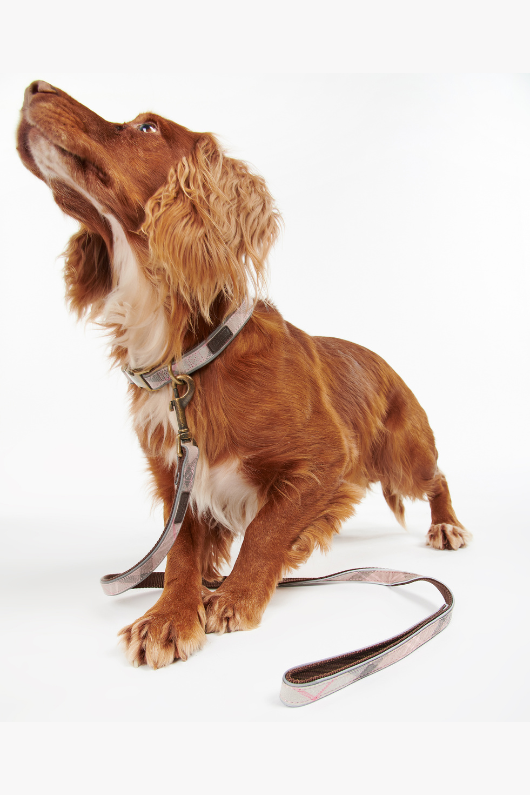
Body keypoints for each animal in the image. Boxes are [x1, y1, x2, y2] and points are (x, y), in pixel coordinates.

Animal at [17, 81, 470, 668]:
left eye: (146, 127)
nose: (34, 87)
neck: (186, 359)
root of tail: (383, 361)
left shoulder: (328, 456)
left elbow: (266, 528)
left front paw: (237, 595)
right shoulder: (177, 479)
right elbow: (183, 554)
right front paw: (169, 616)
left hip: (401, 455)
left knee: (437, 476)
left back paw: (447, 525)